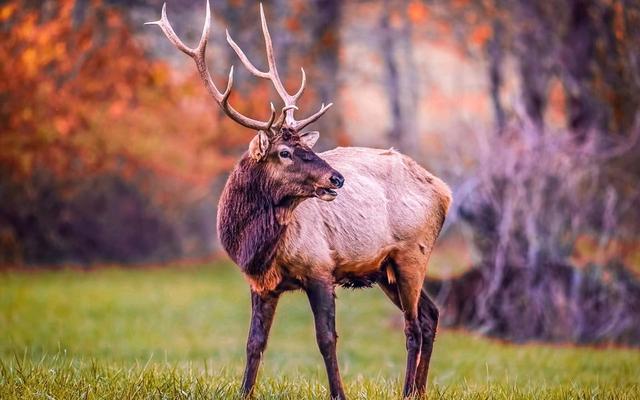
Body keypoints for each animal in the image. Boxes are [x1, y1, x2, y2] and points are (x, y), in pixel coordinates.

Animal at [148, 2, 452, 396]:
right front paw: (244, 392)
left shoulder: (319, 267)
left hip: (412, 253)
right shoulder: (260, 283)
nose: (337, 178)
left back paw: (407, 392)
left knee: (413, 325)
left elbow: (326, 339)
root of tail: (444, 191)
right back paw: (418, 390)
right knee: (430, 315)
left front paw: (339, 393)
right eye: (285, 152)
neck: (254, 246)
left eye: (307, 147)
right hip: (385, 269)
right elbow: (254, 343)